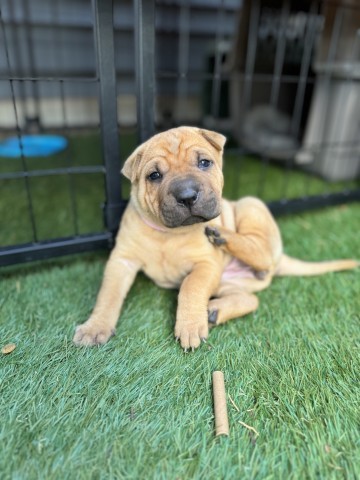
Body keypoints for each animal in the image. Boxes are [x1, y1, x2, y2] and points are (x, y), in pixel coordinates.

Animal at [72, 126, 358, 352]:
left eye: (204, 163)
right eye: (154, 176)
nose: (187, 196)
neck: (168, 234)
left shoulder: (206, 265)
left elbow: (191, 287)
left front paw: (189, 325)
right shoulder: (121, 261)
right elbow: (108, 294)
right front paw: (95, 327)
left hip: (251, 206)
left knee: (261, 252)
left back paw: (223, 237)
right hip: (227, 282)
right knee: (251, 299)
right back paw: (213, 310)